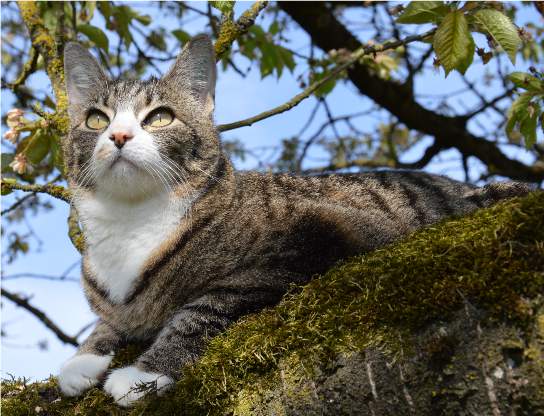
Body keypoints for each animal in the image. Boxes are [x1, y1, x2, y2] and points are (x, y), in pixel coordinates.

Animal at [59, 35, 532, 406]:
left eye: (159, 116)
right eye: (96, 119)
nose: (119, 135)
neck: (132, 219)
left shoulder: (311, 240)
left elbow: (204, 307)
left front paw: (142, 374)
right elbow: (110, 319)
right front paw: (84, 359)